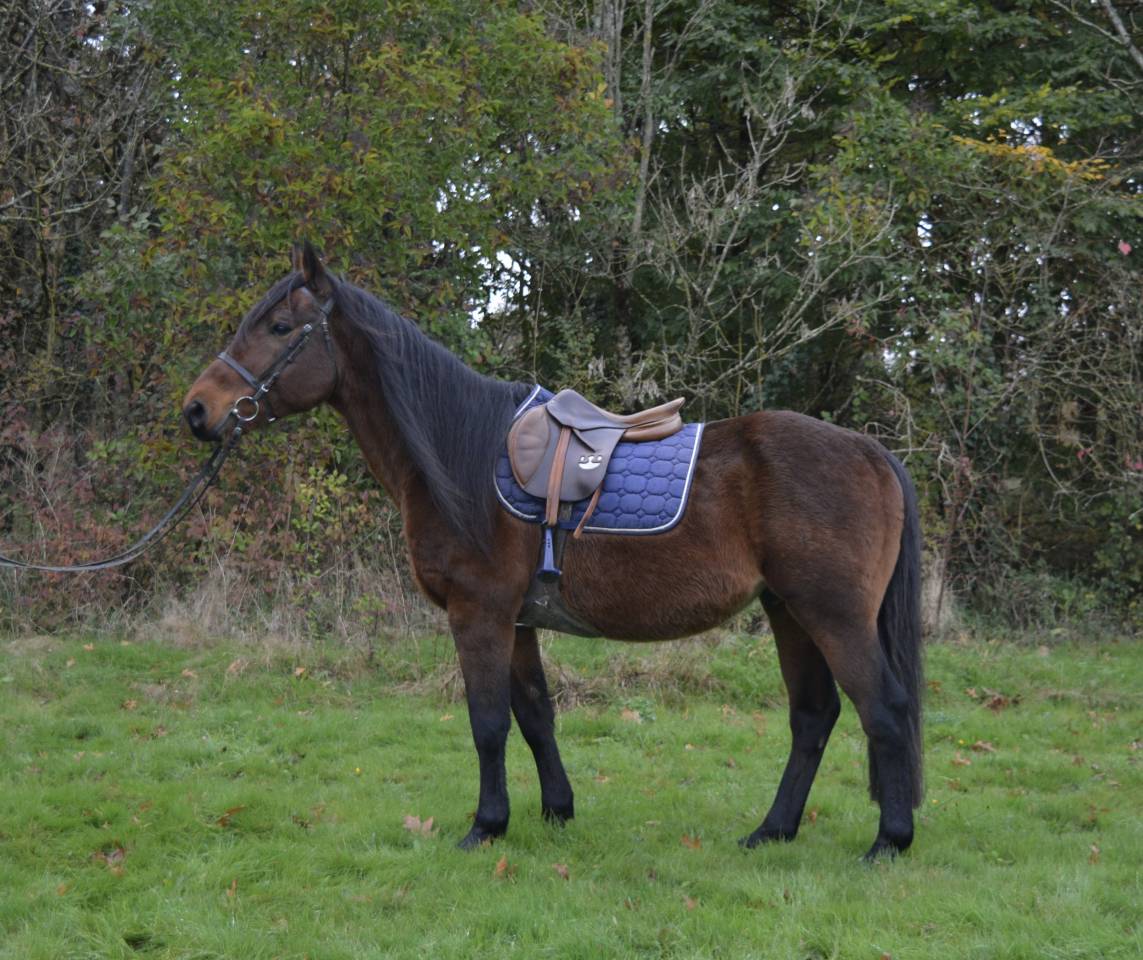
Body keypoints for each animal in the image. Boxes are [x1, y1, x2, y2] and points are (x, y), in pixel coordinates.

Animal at [183, 243, 924, 860]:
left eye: (281, 329)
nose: (197, 410)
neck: (460, 455)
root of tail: (871, 451)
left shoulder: (478, 613)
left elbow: (487, 723)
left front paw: (485, 826)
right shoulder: (516, 621)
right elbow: (536, 716)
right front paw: (556, 811)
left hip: (831, 614)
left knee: (883, 709)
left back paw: (888, 841)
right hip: (787, 611)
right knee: (813, 717)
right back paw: (772, 831)